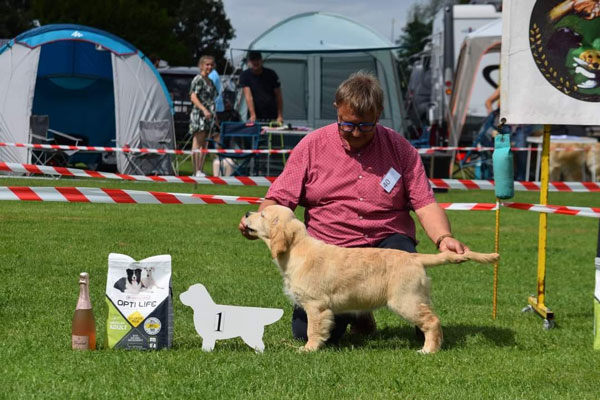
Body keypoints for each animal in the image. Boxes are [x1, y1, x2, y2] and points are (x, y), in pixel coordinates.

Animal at [241, 206, 500, 354]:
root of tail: (415, 257)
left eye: (262, 215)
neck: (297, 250)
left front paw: (308, 349)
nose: (245, 214)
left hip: (405, 300)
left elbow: (313, 330)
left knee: (432, 321)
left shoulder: (316, 305)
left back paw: (428, 350)